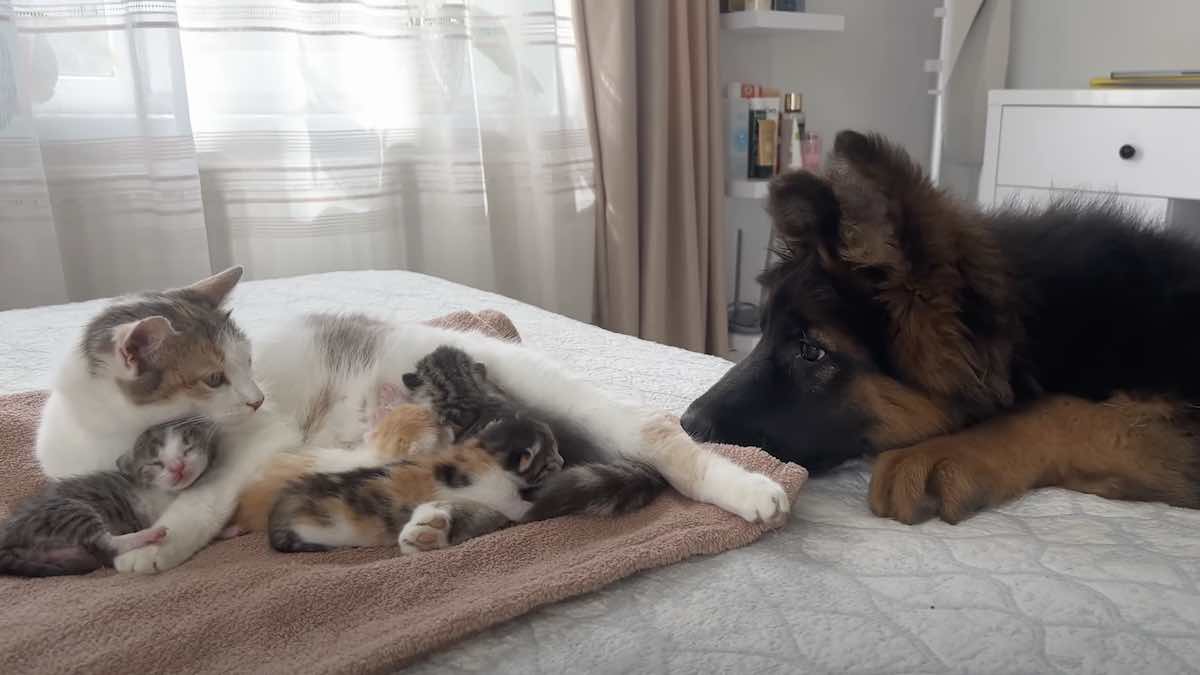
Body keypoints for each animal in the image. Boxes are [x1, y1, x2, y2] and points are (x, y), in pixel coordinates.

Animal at [1, 417, 222, 576]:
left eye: (187, 449)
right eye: (156, 463)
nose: (177, 467)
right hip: (69, 509)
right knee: (107, 543)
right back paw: (149, 534)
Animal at [686, 128, 1200, 523]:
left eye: (812, 351)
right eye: (765, 330)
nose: (686, 424)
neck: (1040, 326)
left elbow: (1064, 410)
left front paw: (944, 453)